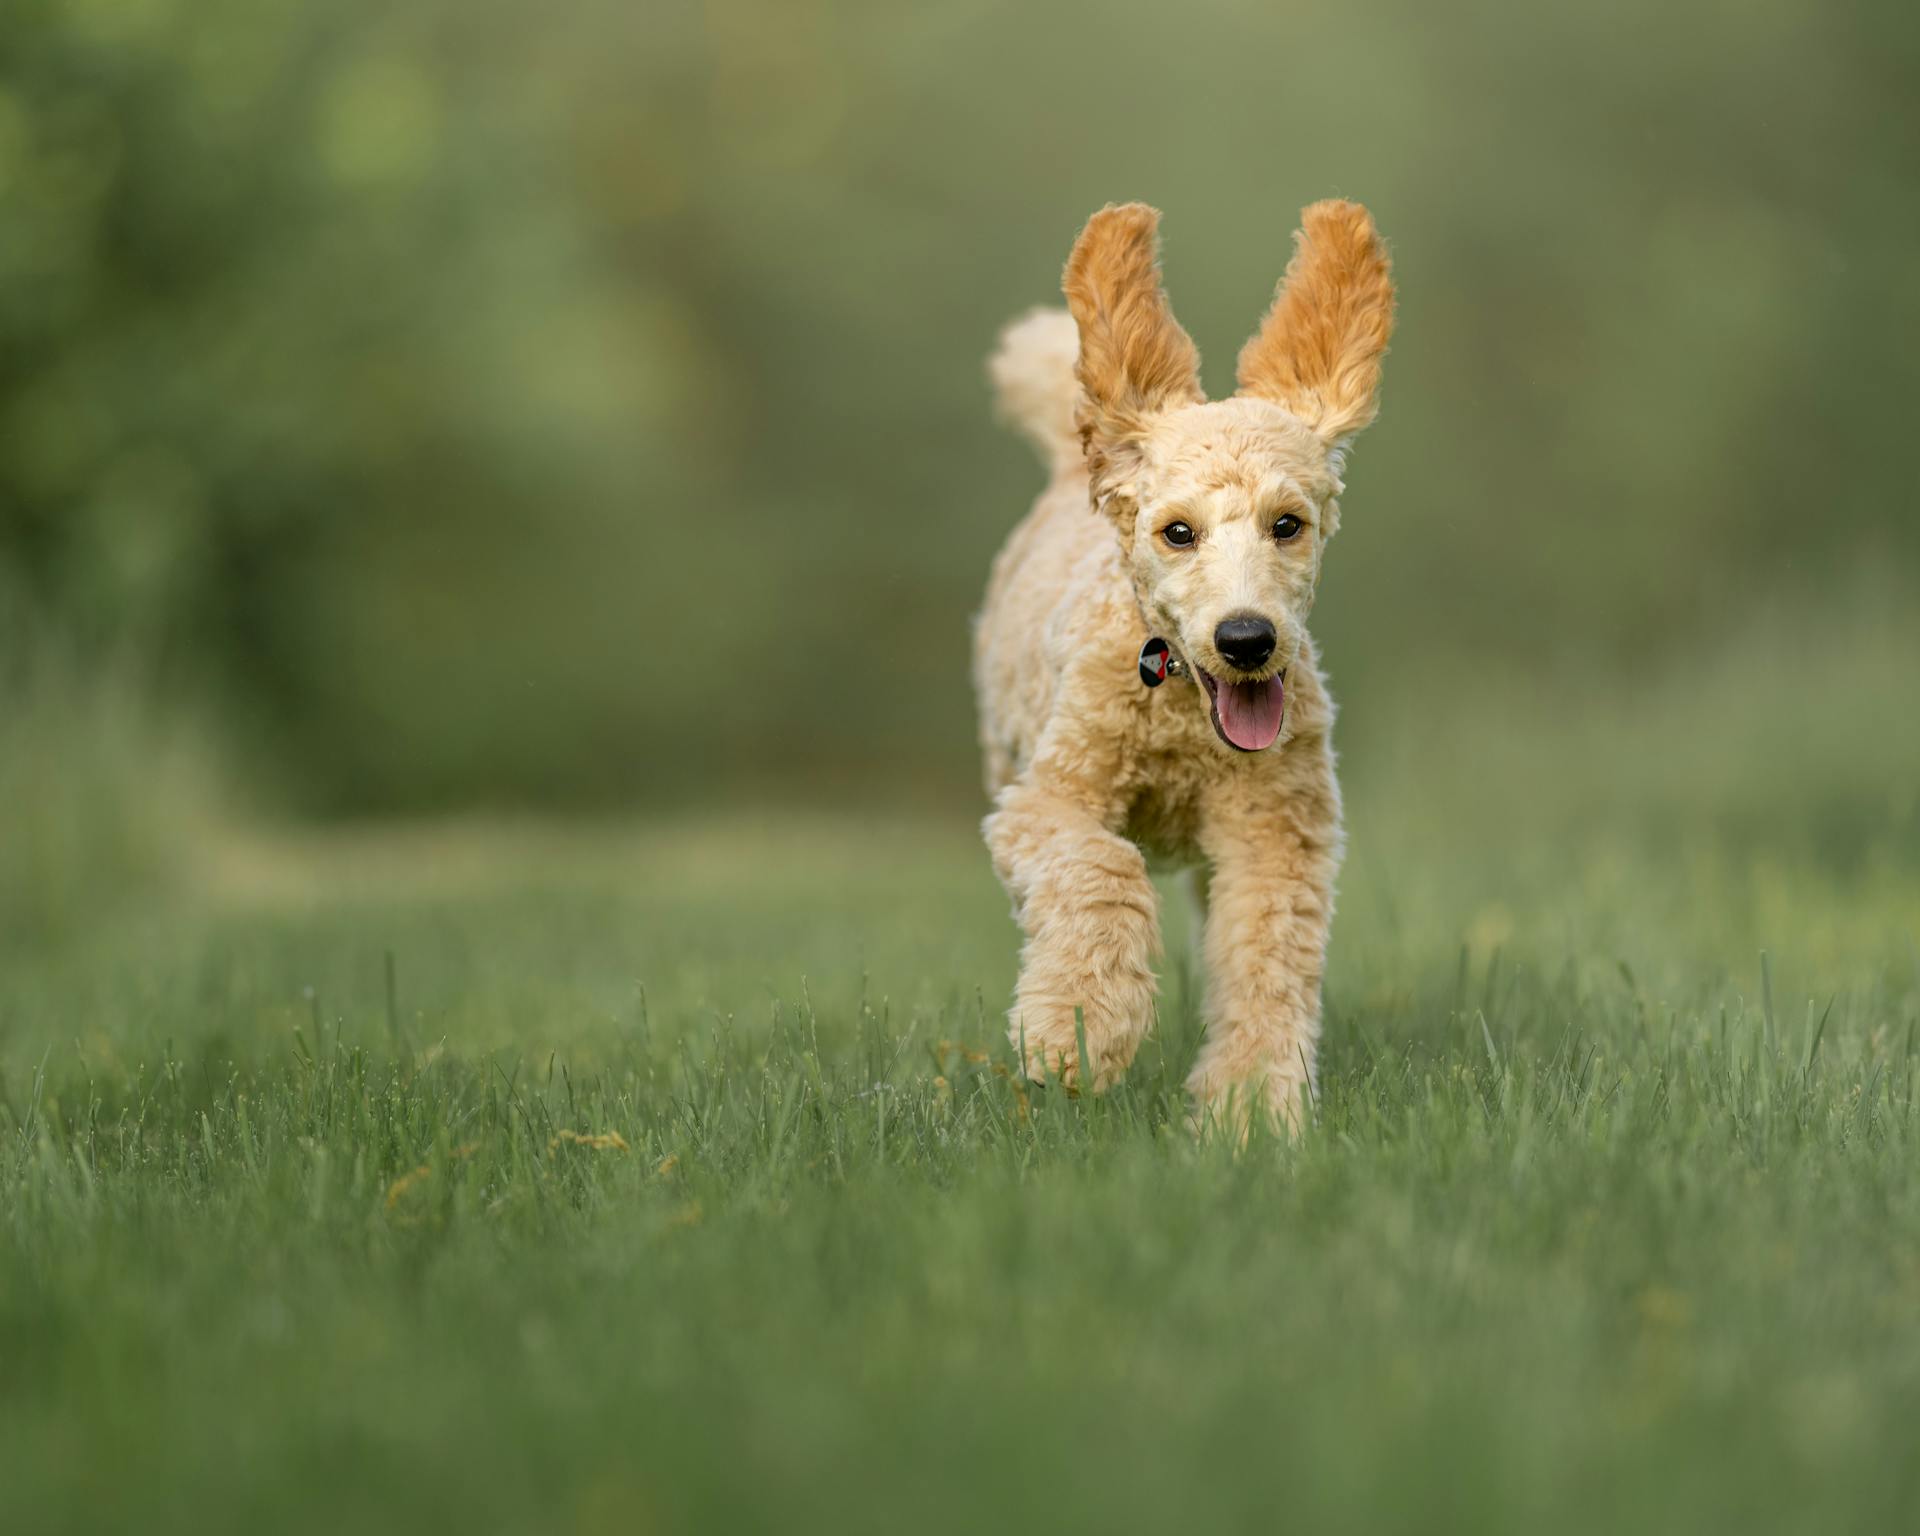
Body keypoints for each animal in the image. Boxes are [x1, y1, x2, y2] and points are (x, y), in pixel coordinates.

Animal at [975, 197, 1397, 1136]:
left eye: (1288, 524)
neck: (1177, 713)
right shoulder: (1044, 801)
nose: (1246, 639)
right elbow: (1100, 872)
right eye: (1178, 532)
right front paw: (1075, 1035)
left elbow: (1266, 958)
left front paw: (1250, 1115)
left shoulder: (1278, 830)